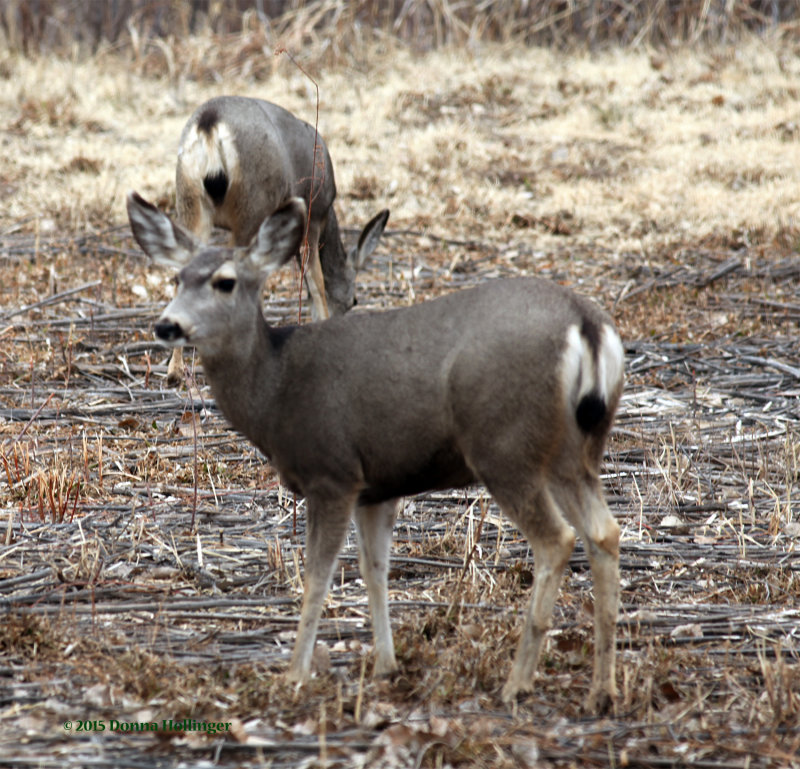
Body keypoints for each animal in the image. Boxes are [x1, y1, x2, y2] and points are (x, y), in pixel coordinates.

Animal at [126, 194, 624, 712]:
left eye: (225, 282)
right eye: (176, 278)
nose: (167, 324)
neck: (276, 387)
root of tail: (586, 325)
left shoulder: (332, 472)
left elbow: (318, 576)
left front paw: (295, 674)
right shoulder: (379, 485)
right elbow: (375, 569)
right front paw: (386, 665)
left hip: (504, 445)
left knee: (558, 539)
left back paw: (517, 683)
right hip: (572, 451)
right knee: (604, 532)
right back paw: (601, 692)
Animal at [170, 94, 390, 384]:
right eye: (354, 301)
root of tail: (210, 123)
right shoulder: (312, 218)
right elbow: (317, 283)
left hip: (189, 203)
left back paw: (174, 370)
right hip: (251, 208)